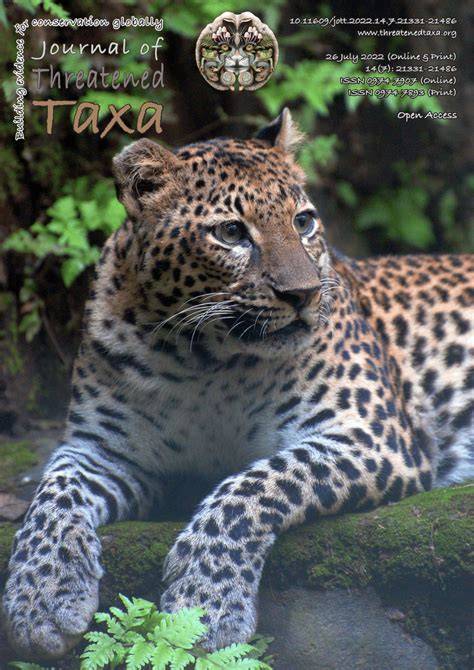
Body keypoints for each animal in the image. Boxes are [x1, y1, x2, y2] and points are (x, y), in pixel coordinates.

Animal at [3, 108, 473, 660]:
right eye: (231, 232)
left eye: (303, 222)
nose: (304, 294)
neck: (204, 364)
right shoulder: (103, 449)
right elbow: (52, 495)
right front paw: (41, 596)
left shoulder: (374, 434)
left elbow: (256, 482)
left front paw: (205, 600)